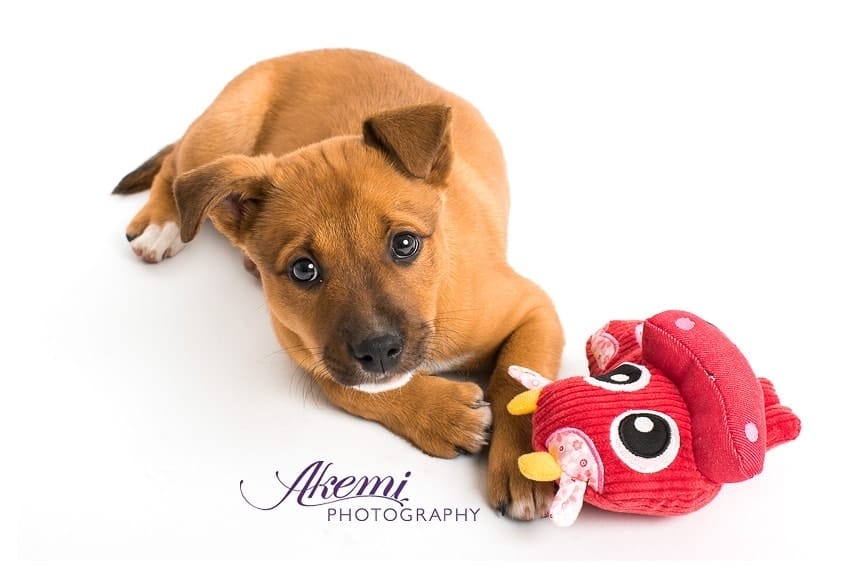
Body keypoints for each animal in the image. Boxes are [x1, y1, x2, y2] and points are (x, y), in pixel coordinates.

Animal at [112, 49, 564, 516]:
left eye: (405, 243)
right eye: (303, 269)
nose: (379, 350)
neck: (439, 299)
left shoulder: (533, 308)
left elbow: (518, 380)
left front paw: (524, 466)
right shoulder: (306, 349)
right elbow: (353, 391)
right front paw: (446, 415)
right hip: (223, 133)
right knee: (176, 167)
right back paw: (161, 225)